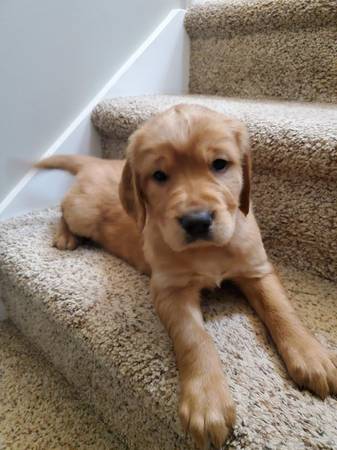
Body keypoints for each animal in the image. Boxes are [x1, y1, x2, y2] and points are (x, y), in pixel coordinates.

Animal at [36, 103, 336, 448]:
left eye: (219, 164)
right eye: (159, 175)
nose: (197, 221)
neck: (208, 251)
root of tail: (98, 161)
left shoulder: (257, 269)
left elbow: (281, 310)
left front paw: (312, 356)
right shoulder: (170, 290)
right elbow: (194, 337)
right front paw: (207, 402)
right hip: (82, 212)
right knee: (62, 209)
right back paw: (64, 237)